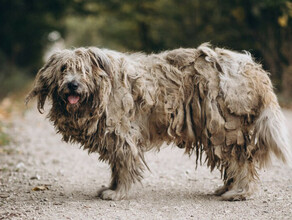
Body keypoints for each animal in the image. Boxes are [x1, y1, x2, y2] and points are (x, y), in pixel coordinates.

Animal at [25, 43, 290, 201]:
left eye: (84, 71)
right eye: (63, 69)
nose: (72, 85)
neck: (104, 88)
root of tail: (254, 69)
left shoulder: (122, 134)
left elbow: (124, 165)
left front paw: (118, 192)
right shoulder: (115, 137)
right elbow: (117, 166)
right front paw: (111, 187)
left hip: (228, 127)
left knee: (242, 161)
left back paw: (238, 192)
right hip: (219, 131)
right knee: (234, 161)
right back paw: (227, 188)